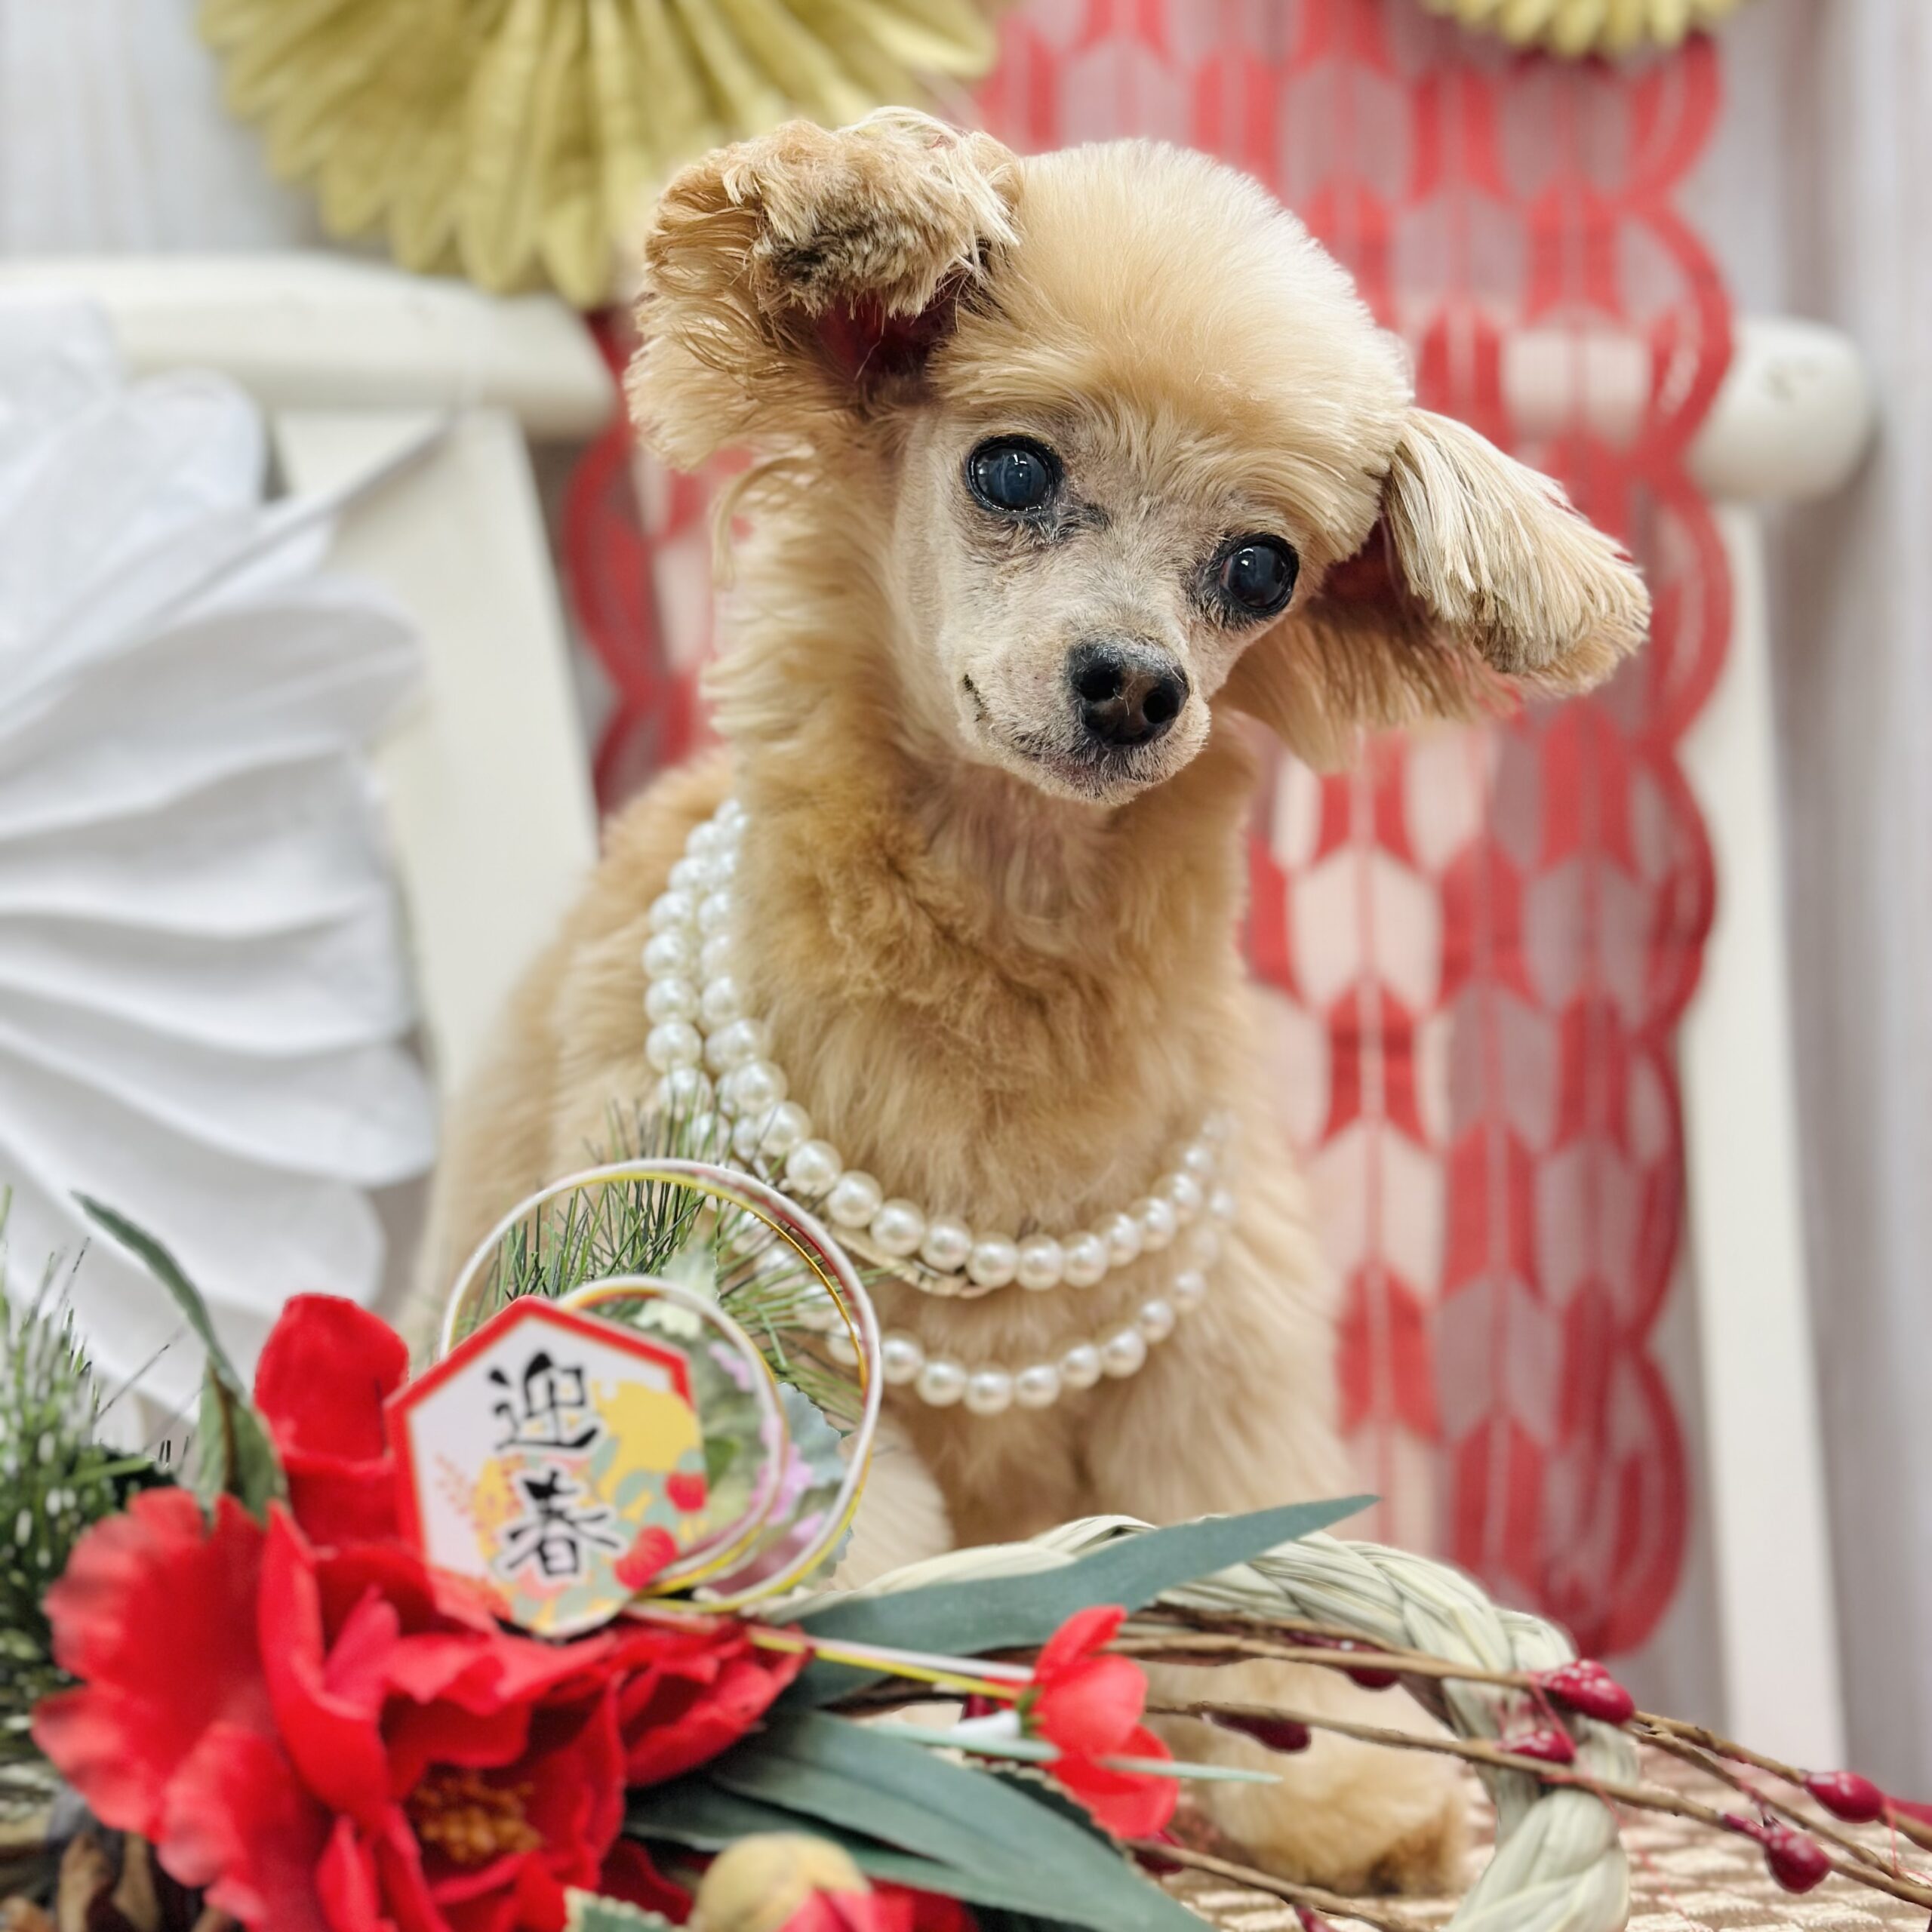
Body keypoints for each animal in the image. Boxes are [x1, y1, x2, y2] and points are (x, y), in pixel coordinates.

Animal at [420, 110, 1647, 1890]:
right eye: (1009, 470)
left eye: (1259, 568)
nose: (1135, 682)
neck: (1012, 925)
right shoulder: (772, 1344)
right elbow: (861, 1563)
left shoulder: (1211, 1378)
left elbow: (1252, 1585)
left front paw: (1345, 1797)